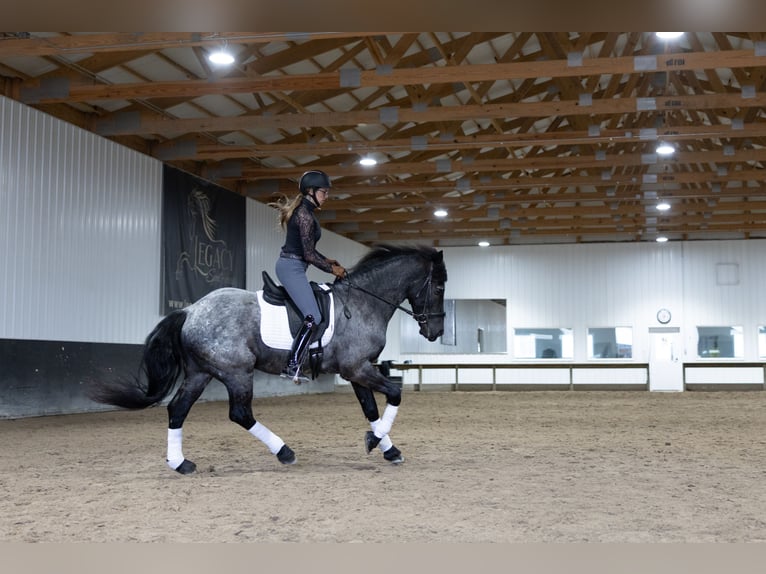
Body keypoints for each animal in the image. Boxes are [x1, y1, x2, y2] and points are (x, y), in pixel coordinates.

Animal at [88, 244, 447, 474]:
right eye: (440, 288)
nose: (436, 331)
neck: (362, 303)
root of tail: (190, 310)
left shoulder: (356, 369)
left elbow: (371, 409)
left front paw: (386, 447)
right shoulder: (357, 367)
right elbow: (394, 394)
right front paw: (377, 441)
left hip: (201, 372)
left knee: (178, 409)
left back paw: (181, 464)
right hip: (236, 372)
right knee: (240, 413)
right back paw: (284, 452)